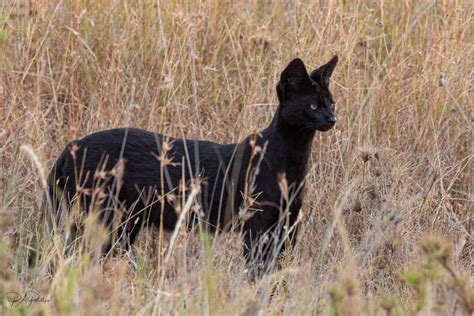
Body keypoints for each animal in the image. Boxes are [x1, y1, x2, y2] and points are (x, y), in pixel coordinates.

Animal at [47, 55, 336, 276]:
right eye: (313, 105)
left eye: (331, 103)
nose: (332, 118)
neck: (294, 159)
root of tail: (69, 148)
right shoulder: (258, 225)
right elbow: (258, 269)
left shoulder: (288, 224)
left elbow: (279, 269)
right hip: (101, 217)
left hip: (124, 224)